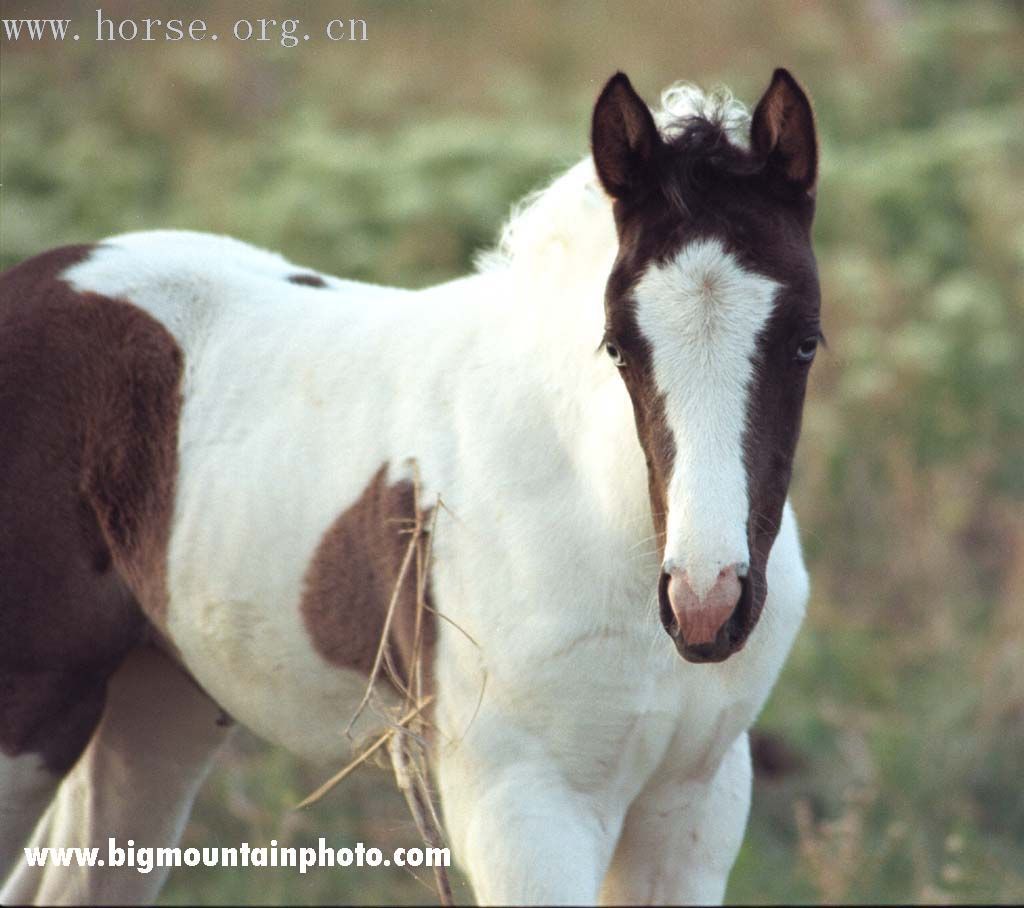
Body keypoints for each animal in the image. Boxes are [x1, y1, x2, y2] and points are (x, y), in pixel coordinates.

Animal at [0, 69, 819, 900]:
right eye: (618, 346)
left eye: (806, 342)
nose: (705, 605)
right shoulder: (523, 810)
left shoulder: (693, 803)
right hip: (31, 705)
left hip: (158, 701)